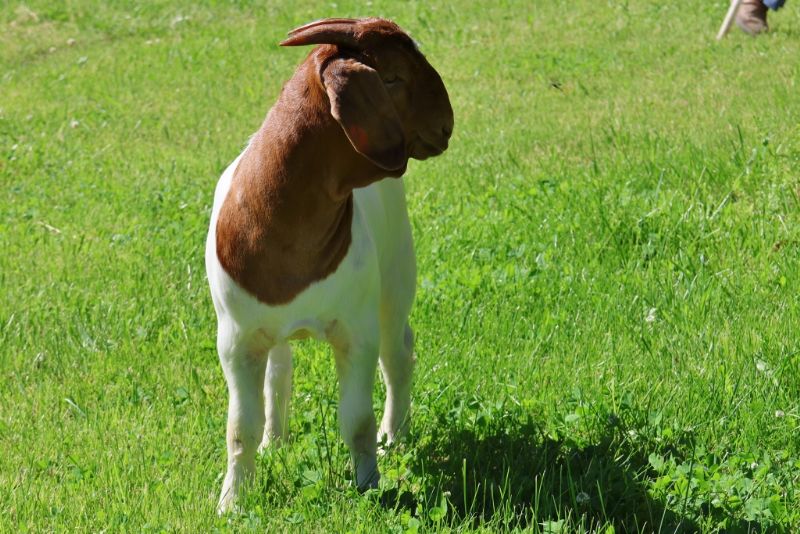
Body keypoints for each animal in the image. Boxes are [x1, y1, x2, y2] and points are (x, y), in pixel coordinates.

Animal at [205, 17, 453, 512]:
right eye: (393, 77)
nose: (447, 125)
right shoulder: (237, 340)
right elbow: (240, 428)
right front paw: (232, 502)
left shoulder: (357, 331)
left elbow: (356, 419)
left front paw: (370, 486)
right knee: (279, 371)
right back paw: (275, 441)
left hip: (396, 277)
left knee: (398, 355)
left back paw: (394, 439)